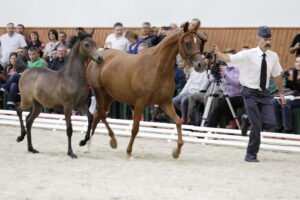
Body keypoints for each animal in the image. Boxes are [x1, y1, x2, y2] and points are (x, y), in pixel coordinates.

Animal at [15, 30, 102, 158]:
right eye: (87, 44)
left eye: (95, 43)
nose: (100, 58)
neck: (73, 77)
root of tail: (27, 69)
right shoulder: (67, 106)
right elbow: (69, 129)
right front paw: (71, 153)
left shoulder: (81, 104)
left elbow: (90, 118)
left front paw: (82, 142)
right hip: (27, 101)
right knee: (18, 109)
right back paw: (20, 136)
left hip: (38, 106)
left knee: (29, 120)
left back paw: (31, 148)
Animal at [81, 21, 205, 159]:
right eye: (187, 42)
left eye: (199, 42)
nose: (201, 65)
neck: (158, 68)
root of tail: (98, 56)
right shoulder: (140, 103)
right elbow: (135, 128)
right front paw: (129, 152)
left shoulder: (165, 103)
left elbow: (178, 122)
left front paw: (176, 151)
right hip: (99, 92)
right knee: (100, 114)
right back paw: (107, 142)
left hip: (109, 96)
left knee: (98, 115)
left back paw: (92, 145)